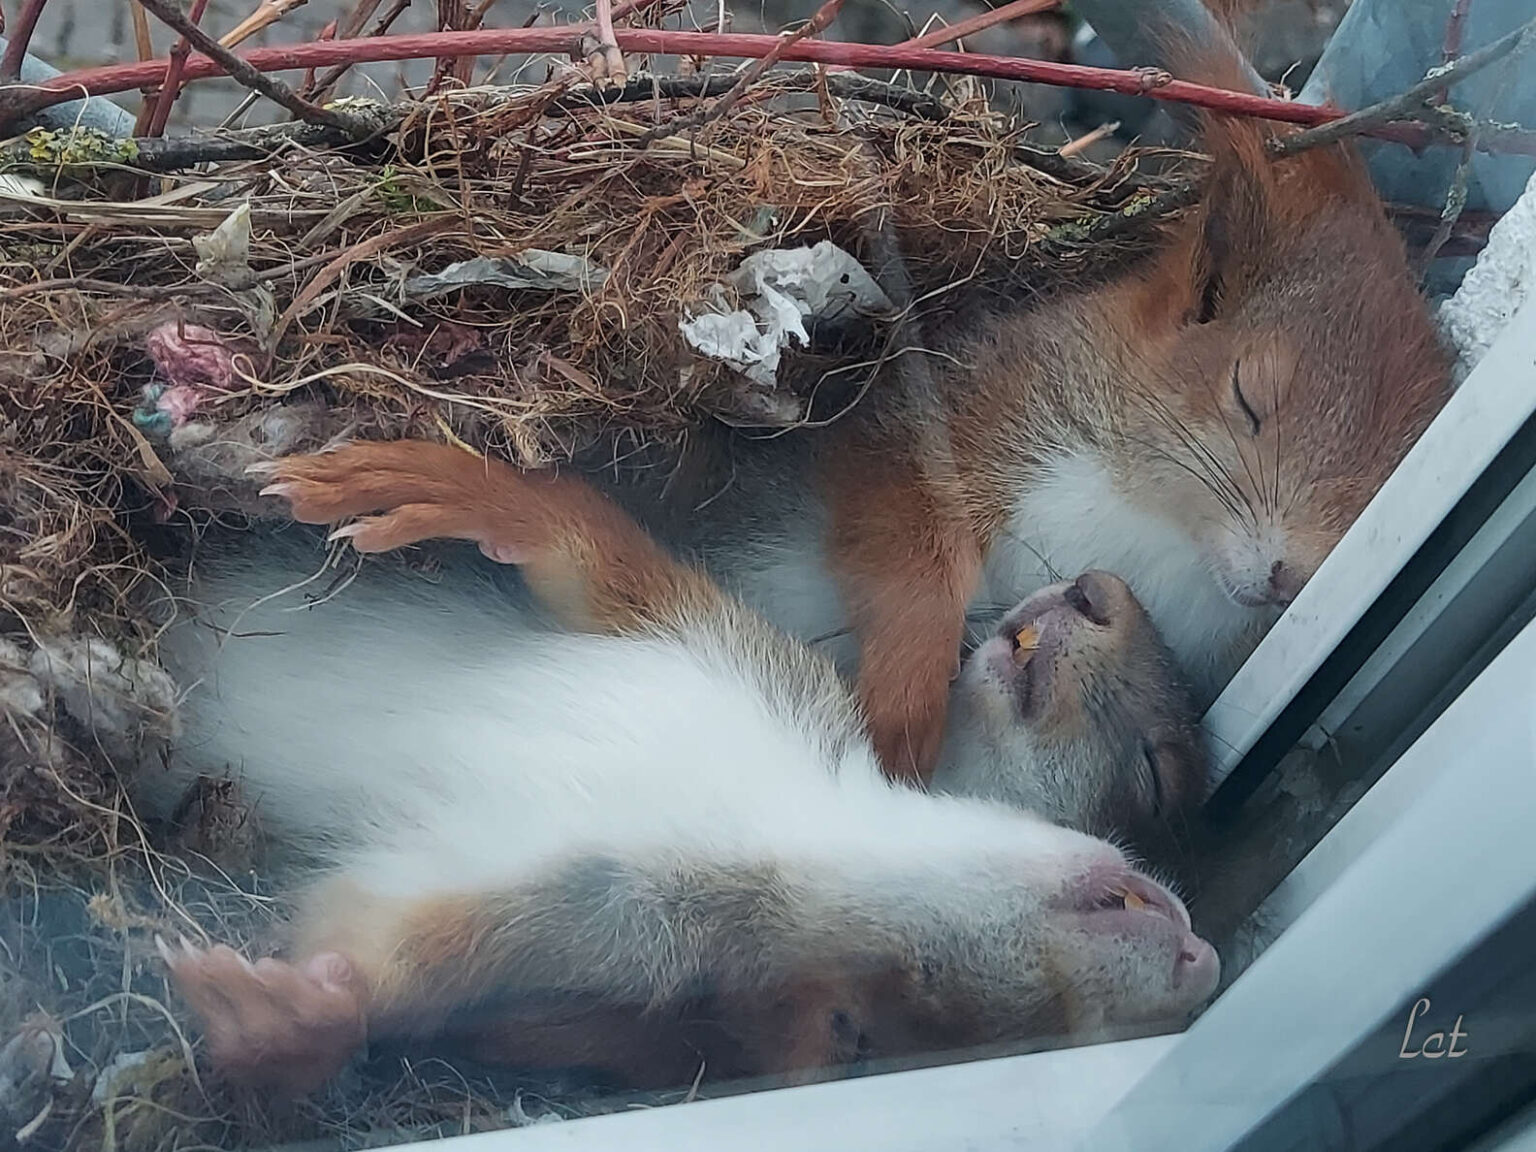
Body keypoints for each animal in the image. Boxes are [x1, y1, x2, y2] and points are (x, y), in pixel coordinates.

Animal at [149, 442, 1216, 1099]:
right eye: (1157, 777)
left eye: (865, 1033)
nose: (1202, 965)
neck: (790, 823)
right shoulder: (726, 650)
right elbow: (587, 552)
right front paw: (449, 484)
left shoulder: (573, 924)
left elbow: (382, 953)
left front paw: (292, 1018)